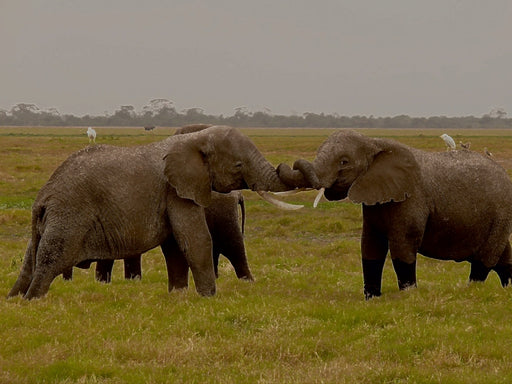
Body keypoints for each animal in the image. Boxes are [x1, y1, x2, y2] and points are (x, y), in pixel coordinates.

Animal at [278, 130, 512, 298]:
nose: (281, 165)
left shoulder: (411, 198)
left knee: (485, 260)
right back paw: (506, 290)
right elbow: (370, 246)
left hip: (501, 213)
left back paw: (471, 291)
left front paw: (408, 295)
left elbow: (402, 246)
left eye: (344, 162)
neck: (374, 142)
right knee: (504, 256)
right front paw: (372, 298)